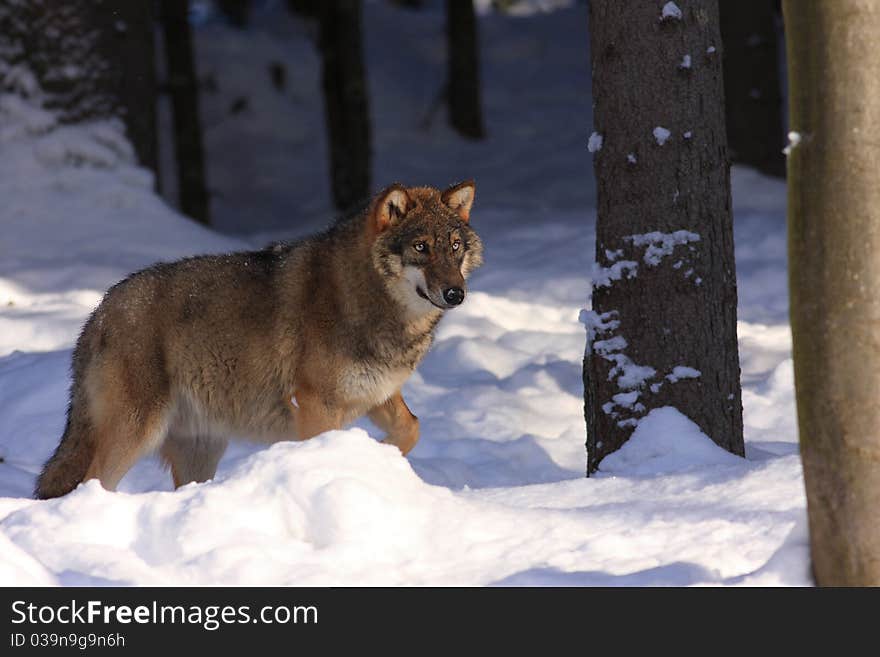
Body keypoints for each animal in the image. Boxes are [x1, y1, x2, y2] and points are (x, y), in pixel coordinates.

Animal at [36, 179, 482, 498]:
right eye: (421, 247)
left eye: (454, 247)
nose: (455, 294)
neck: (363, 297)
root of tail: (99, 312)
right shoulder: (316, 405)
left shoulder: (377, 393)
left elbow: (413, 428)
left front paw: (382, 454)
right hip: (135, 434)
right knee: (91, 481)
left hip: (200, 452)